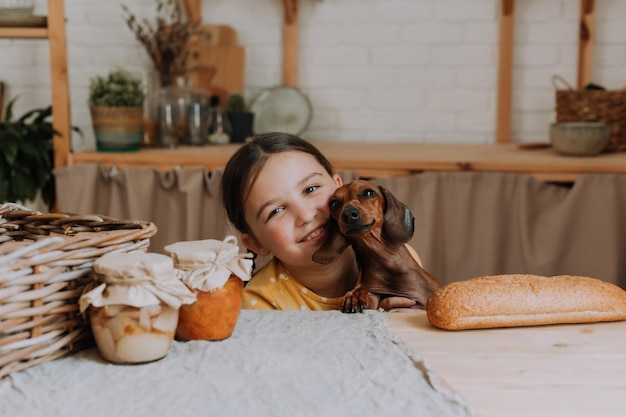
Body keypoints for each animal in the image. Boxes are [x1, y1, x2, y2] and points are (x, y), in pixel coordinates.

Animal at [312, 179, 438, 312]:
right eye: (334, 204)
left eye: (368, 193)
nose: (348, 215)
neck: (387, 258)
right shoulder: (376, 293)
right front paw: (354, 296)